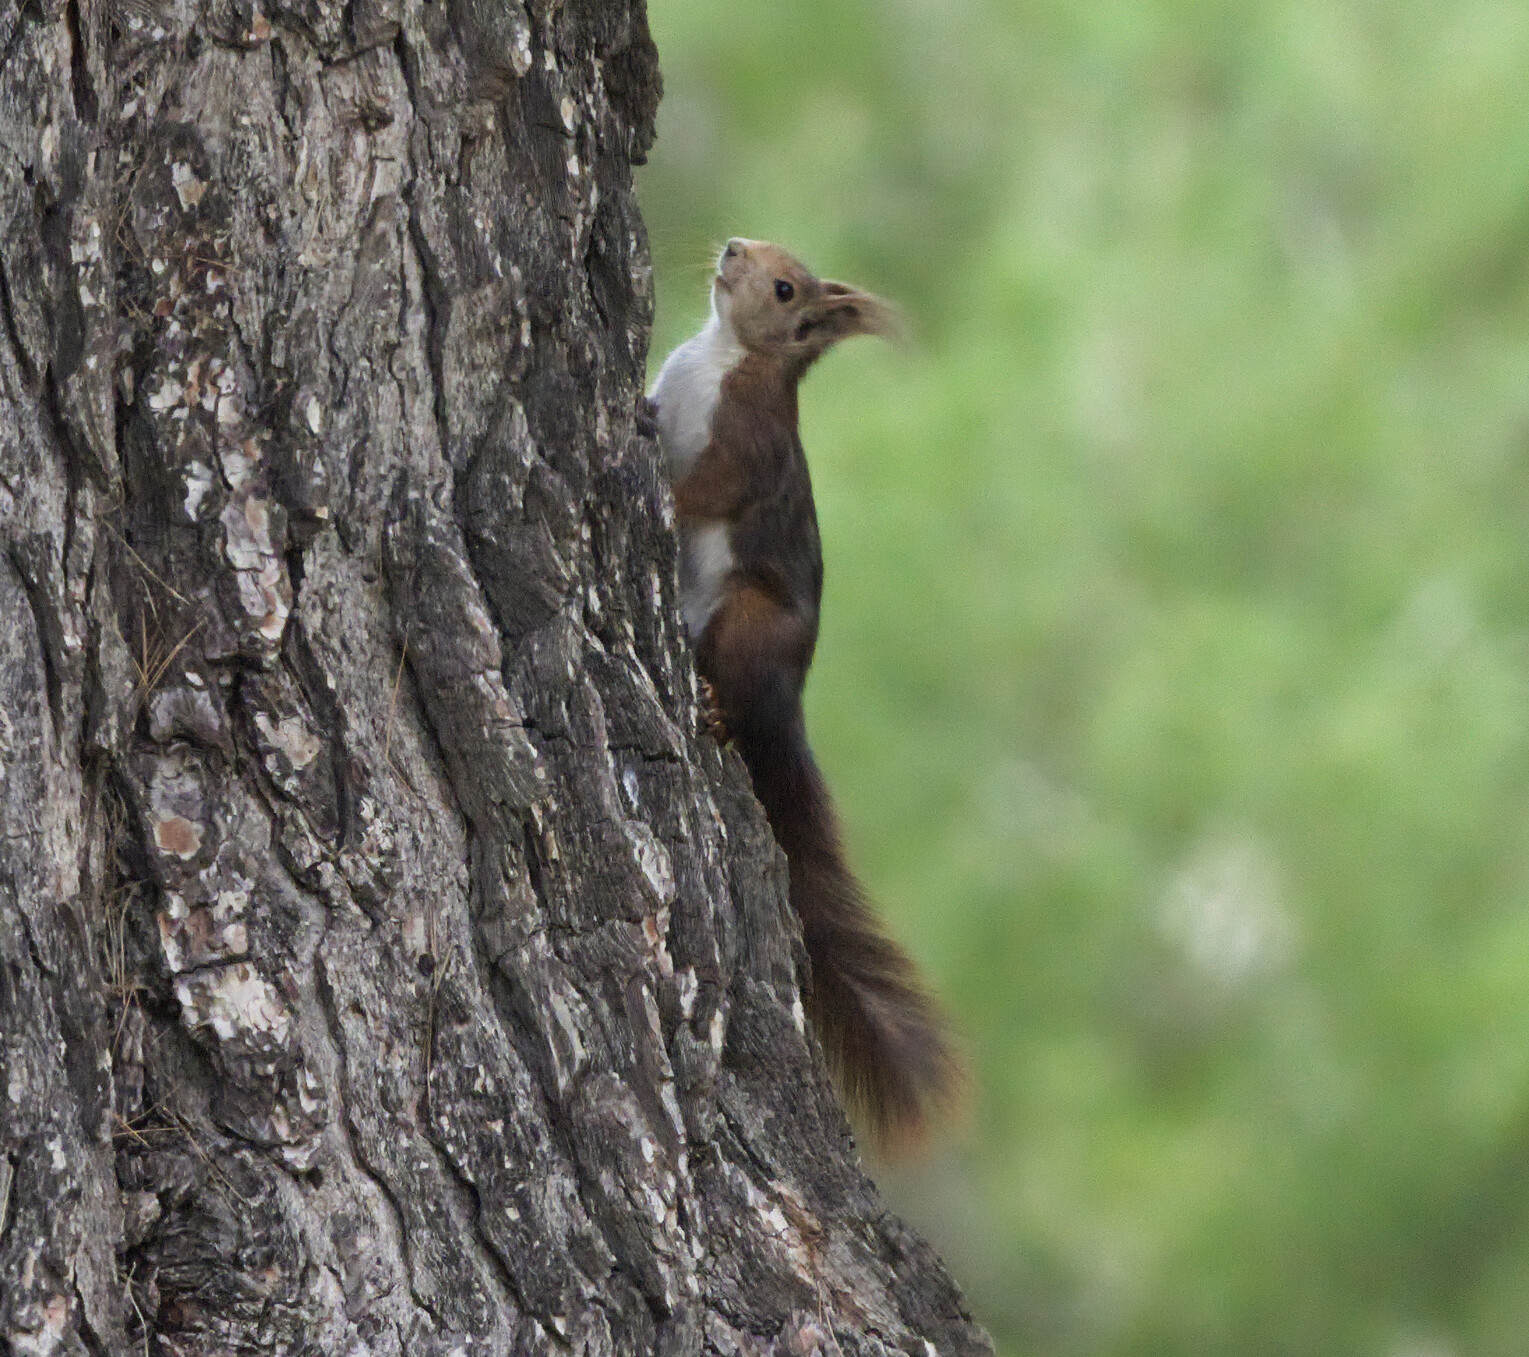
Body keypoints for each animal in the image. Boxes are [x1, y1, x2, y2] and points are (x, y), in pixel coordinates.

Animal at [648, 238, 960, 1149]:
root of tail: (789, 705)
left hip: (747, 622)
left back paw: (719, 706)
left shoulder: (743, 443)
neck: (722, 353)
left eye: (787, 288)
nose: (730, 248)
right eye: (762, 250)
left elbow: (705, 491)